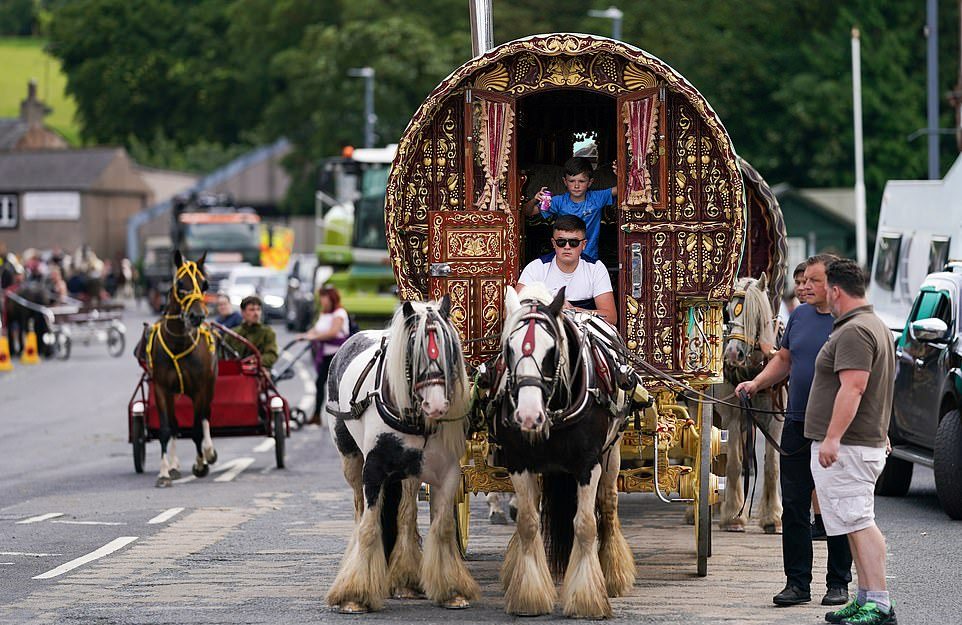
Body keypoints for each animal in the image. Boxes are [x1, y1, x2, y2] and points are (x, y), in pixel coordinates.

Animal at [142, 249, 218, 488]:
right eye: (180, 283)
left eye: (205, 284)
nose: (197, 316)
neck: (178, 343)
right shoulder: (162, 389)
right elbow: (167, 429)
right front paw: (164, 472)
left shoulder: (200, 389)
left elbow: (196, 428)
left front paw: (201, 465)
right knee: (176, 426)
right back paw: (174, 466)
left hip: (209, 386)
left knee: (205, 417)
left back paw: (209, 452)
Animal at [322, 294, 476, 612]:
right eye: (414, 346)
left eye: (448, 346)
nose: (436, 405)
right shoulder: (373, 471)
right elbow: (369, 526)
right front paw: (354, 595)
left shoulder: (449, 473)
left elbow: (442, 528)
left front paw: (452, 590)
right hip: (351, 460)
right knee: (360, 513)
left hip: (411, 470)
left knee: (406, 514)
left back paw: (404, 579)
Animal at [716, 274, 784, 532]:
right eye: (728, 311)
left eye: (754, 313)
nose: (732, 354)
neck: (755, 372)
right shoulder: (734, 416)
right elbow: (734, 464)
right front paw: (734, 516)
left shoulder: (775, 419)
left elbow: (771, 466)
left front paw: (772, 517)